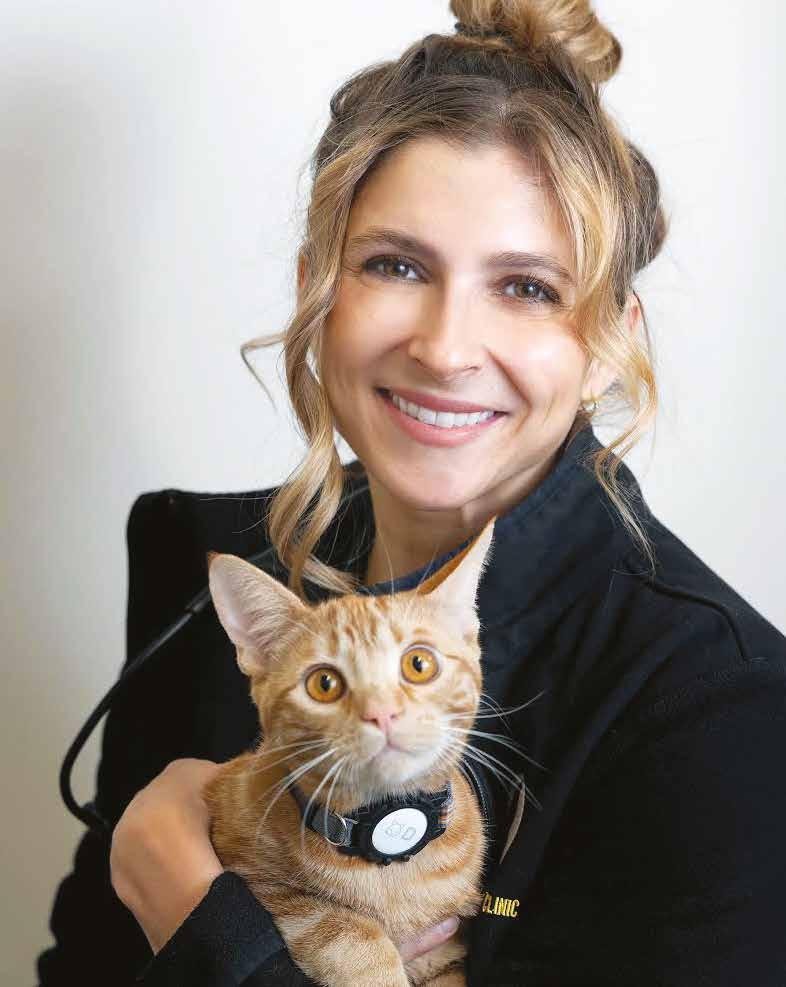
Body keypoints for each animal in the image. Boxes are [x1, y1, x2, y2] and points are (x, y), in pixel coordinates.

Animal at [201, 517, 497, 987]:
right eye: (323, 683)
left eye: (418, 664)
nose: (382, 712)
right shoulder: (261, 880)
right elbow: (351, 937)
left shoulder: (449, 952)